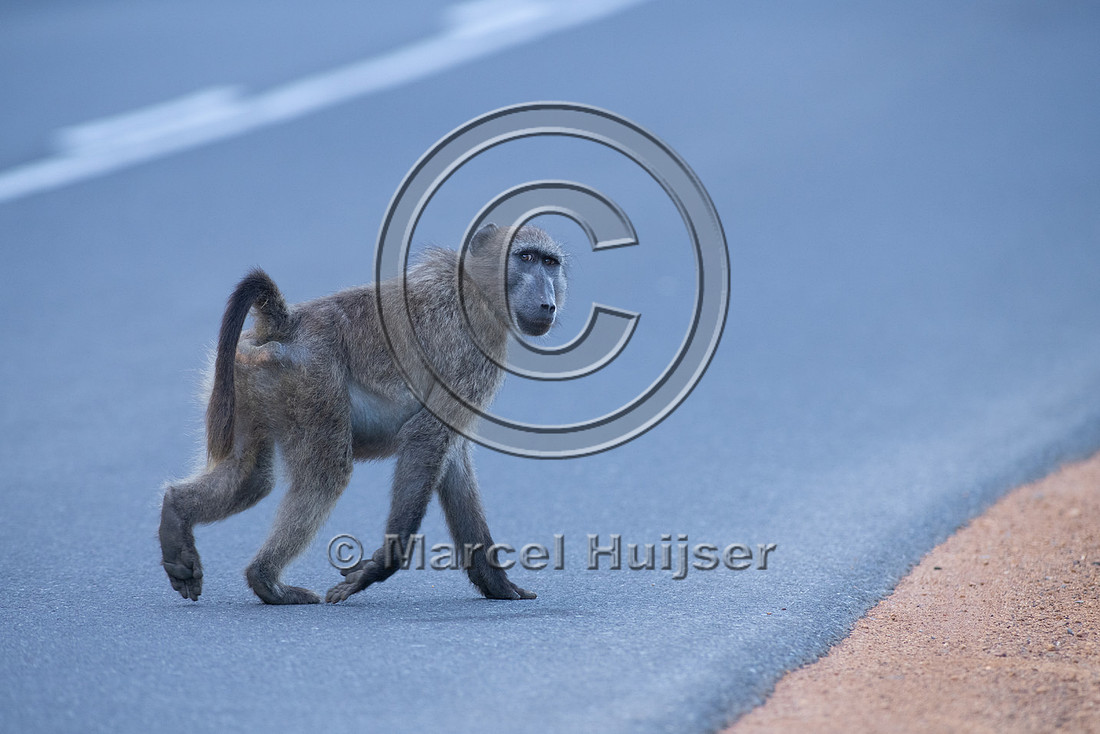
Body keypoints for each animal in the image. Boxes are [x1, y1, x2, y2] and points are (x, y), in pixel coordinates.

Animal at [158, 223, 566, 604]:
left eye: (551, 263)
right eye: (526, 257)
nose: (548, 304)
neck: (476, 289)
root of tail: (285, 322)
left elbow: (452, 462)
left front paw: (497, 584)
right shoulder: (472, 352)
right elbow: (426, 436)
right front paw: (380, 566)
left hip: (252, 381)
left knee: (251, 479)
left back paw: (178, 517)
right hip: (314, 383)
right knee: (325, 477)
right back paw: (267, 581)